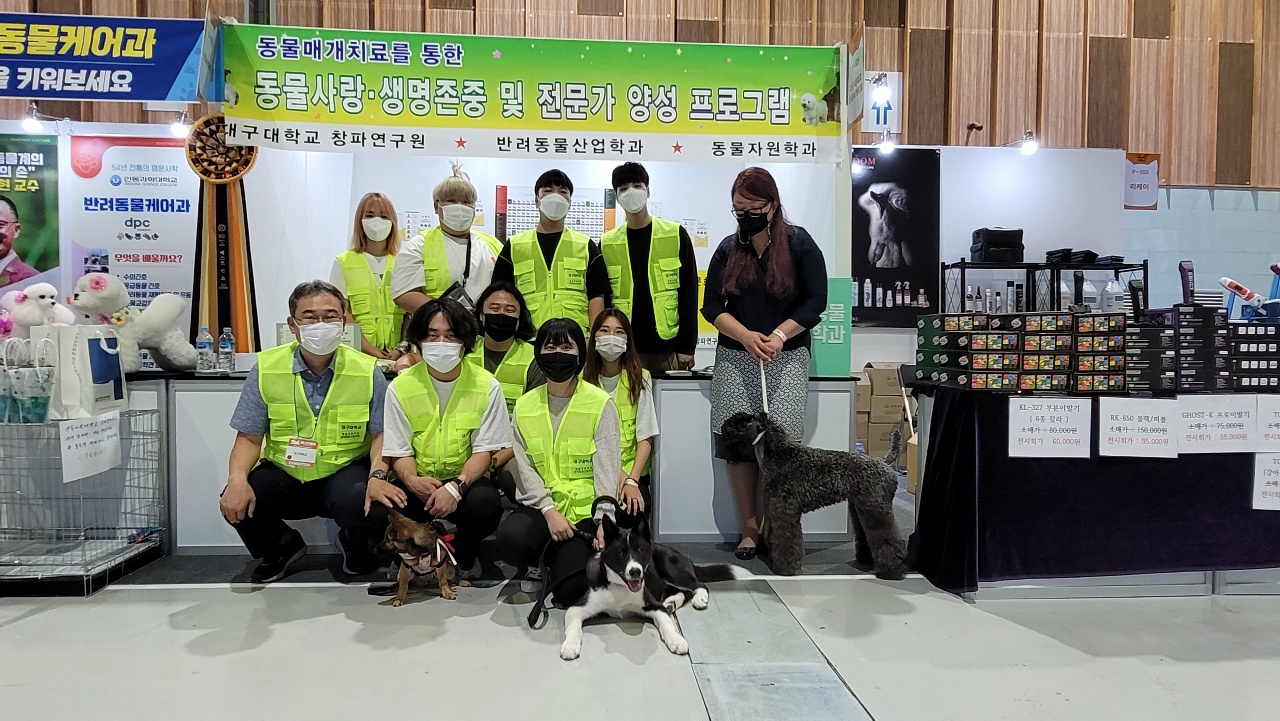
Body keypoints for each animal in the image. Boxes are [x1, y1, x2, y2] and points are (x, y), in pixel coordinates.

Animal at [559, 515, 748, 661]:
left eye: (640, 550)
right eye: (621, 553)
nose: (635, 572)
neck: (619, 586)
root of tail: (684, 557)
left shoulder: (653, 605)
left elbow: (667, 623)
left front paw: (676, 640)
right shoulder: (578, 607)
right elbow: (573, 626)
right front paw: (570, 645)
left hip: (669, 566)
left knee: (697, 586)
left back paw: (698, 598)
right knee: (682, 591)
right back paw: (671, 602)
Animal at [719, 412, 908, 579]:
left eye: (743, 423)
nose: (723, 427)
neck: (778, 453)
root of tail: (883, 462)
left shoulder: (784, 511)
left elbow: (787, 540)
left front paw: (786, 569)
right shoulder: (775, 508)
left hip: (875, 508)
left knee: (889, 538)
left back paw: (892, 571)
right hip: (860, 508)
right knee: (866, 534)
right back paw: (867, 560)